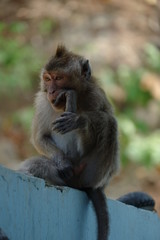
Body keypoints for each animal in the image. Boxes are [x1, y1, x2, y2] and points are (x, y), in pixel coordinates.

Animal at [18, 45, 119, 240]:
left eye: (58, 78)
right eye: (47, 78)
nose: (51, 91)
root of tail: (77, 183)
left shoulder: (96, 97)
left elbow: (98, 120)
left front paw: (77, 117)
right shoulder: (42, 101)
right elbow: (39, 137)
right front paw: (63, 161)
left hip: (90, 173)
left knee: (109, 123)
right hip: (61, 177)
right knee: (36, 166)